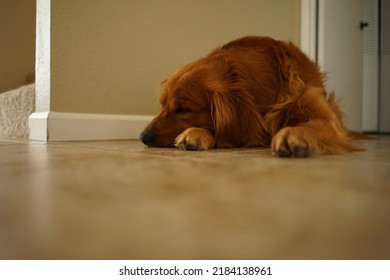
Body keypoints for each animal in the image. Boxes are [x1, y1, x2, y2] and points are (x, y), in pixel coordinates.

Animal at [139, 35, 364, 156]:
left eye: (183, 109)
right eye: (162, 105)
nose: (143, 137)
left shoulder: (324, 118)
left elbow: (310, 124)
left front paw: (295, 133)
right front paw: (196, 133)